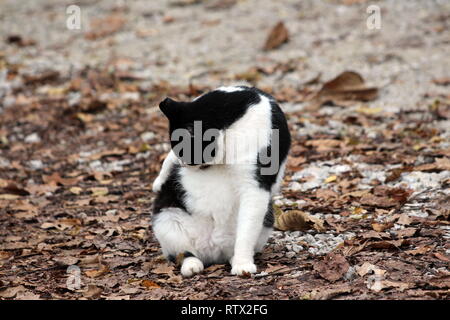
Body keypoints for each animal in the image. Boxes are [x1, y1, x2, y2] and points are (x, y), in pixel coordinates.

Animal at [151, 85, 292, 278]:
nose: (182, 164)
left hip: (266, 220)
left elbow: (246, 232)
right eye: (180, 153)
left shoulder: (254, 186)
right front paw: (159, 180)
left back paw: (235, 259)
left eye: (185, 152)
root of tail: (211, 249)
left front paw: (242, 265)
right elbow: (168, 158)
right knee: (183, 253)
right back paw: (191, 265)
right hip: (166, 218)